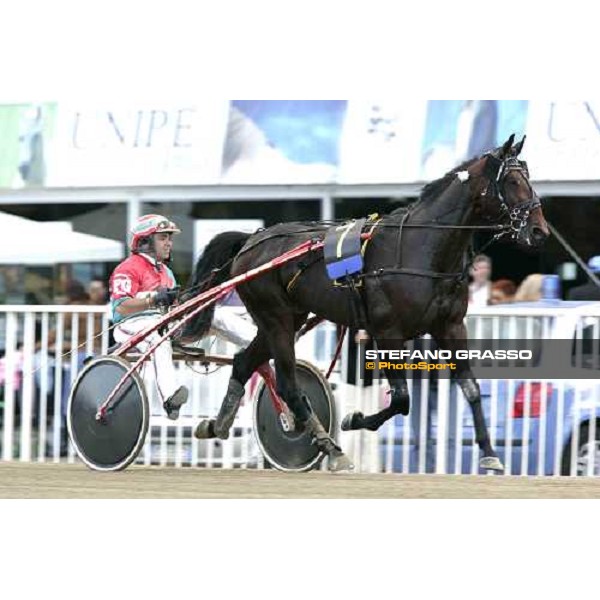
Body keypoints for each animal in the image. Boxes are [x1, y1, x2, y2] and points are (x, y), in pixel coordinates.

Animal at [182, 134, 548, 472]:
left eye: (529, 176)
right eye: (513, 181)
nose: (540, 231)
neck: (421, 247)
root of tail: (251, 240)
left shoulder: (450, 326)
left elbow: (470, 388)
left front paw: (489, 454)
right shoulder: (388, 332)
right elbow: (402, 400)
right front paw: (354, 420)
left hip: (288, 317)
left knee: (244, 362)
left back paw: (217, 425)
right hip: (276, 318)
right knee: (287, 383)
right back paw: (329, 447)